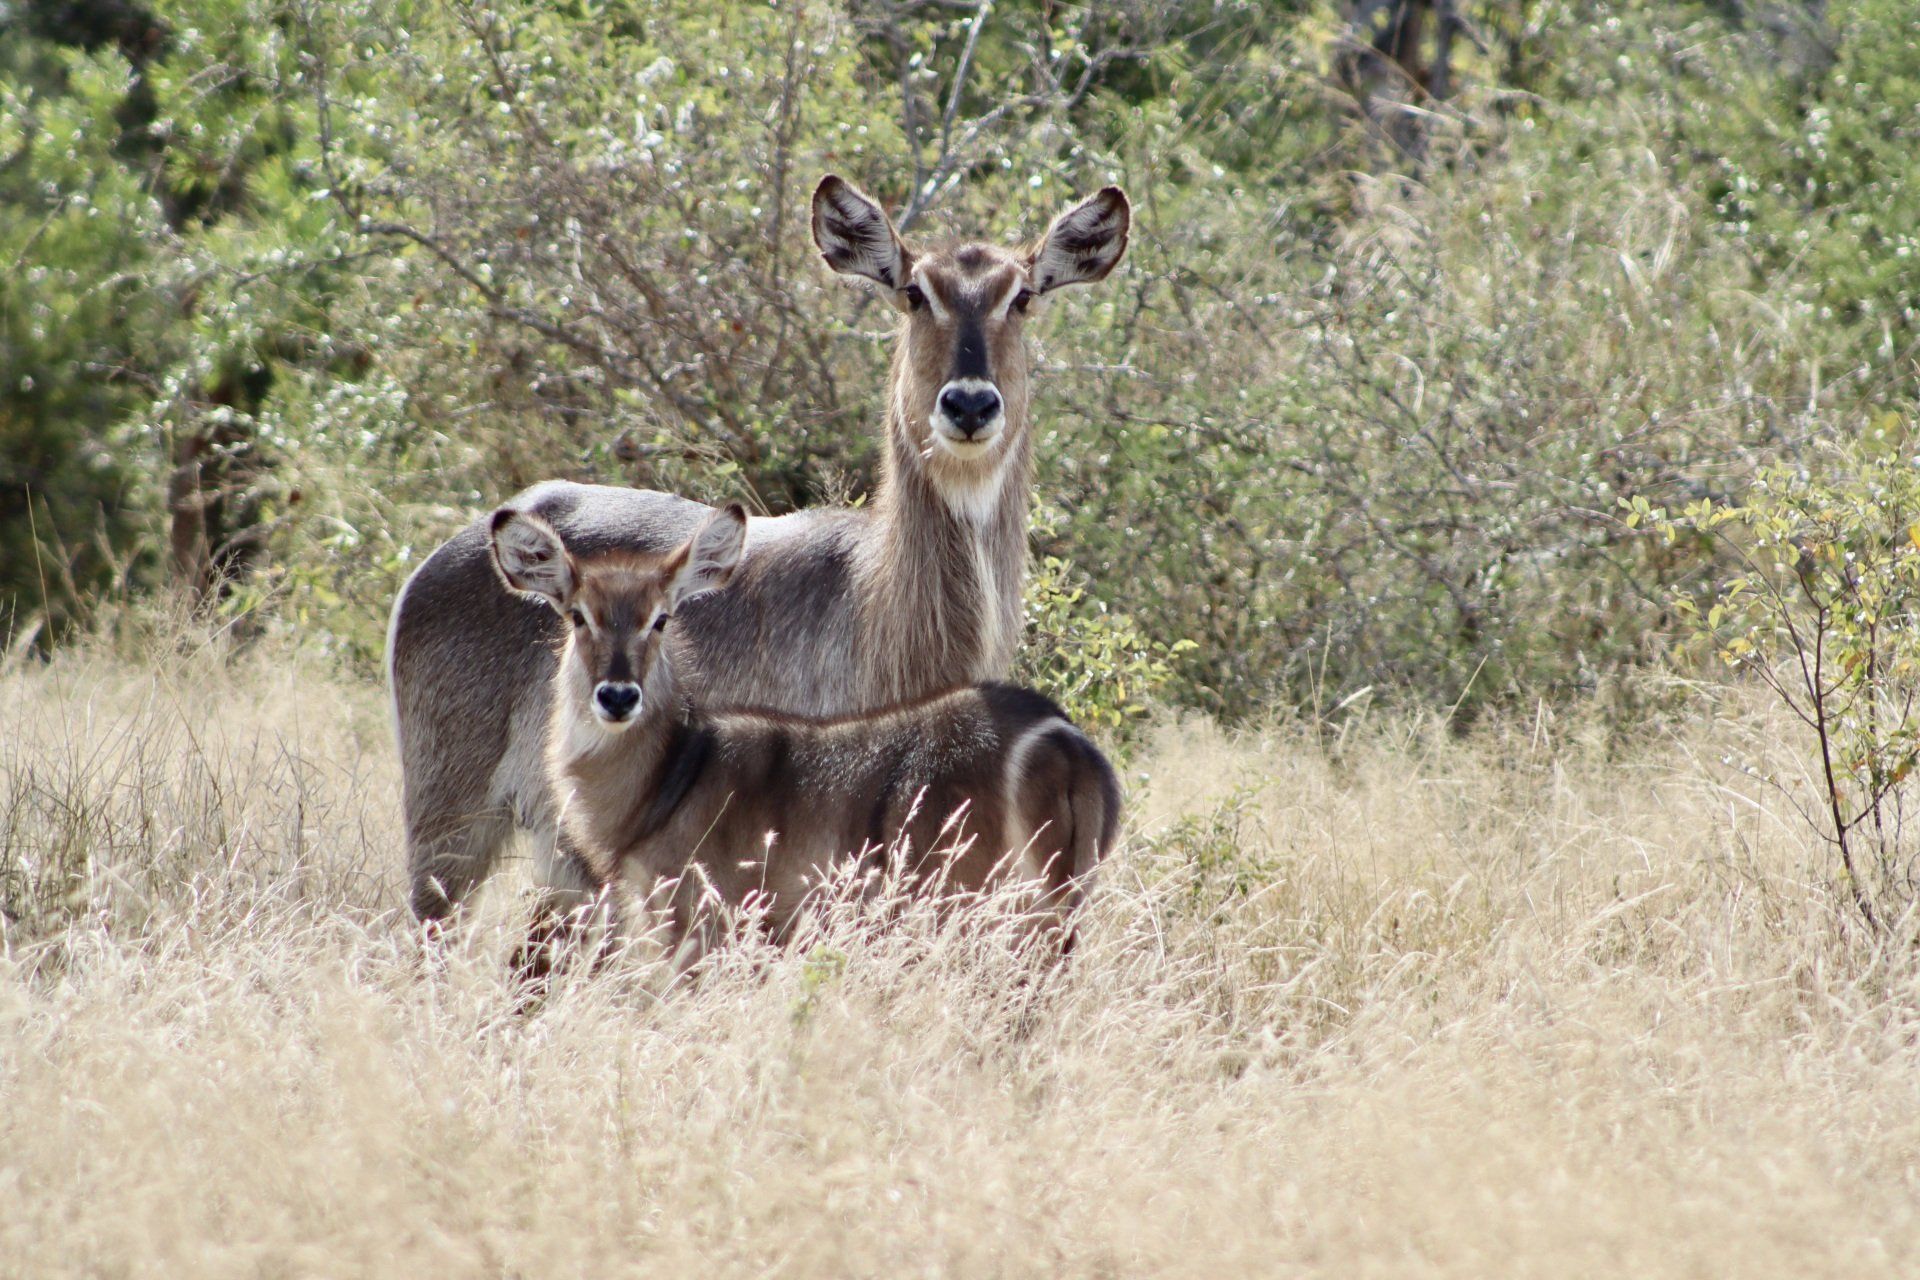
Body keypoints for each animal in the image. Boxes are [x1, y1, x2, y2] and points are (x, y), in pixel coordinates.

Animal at [487, 501, 1121, 967]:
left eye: (660, 619)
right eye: (578, 615)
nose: (618, 696)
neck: (670, 775)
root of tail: (1062, 742)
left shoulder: (700, 928)